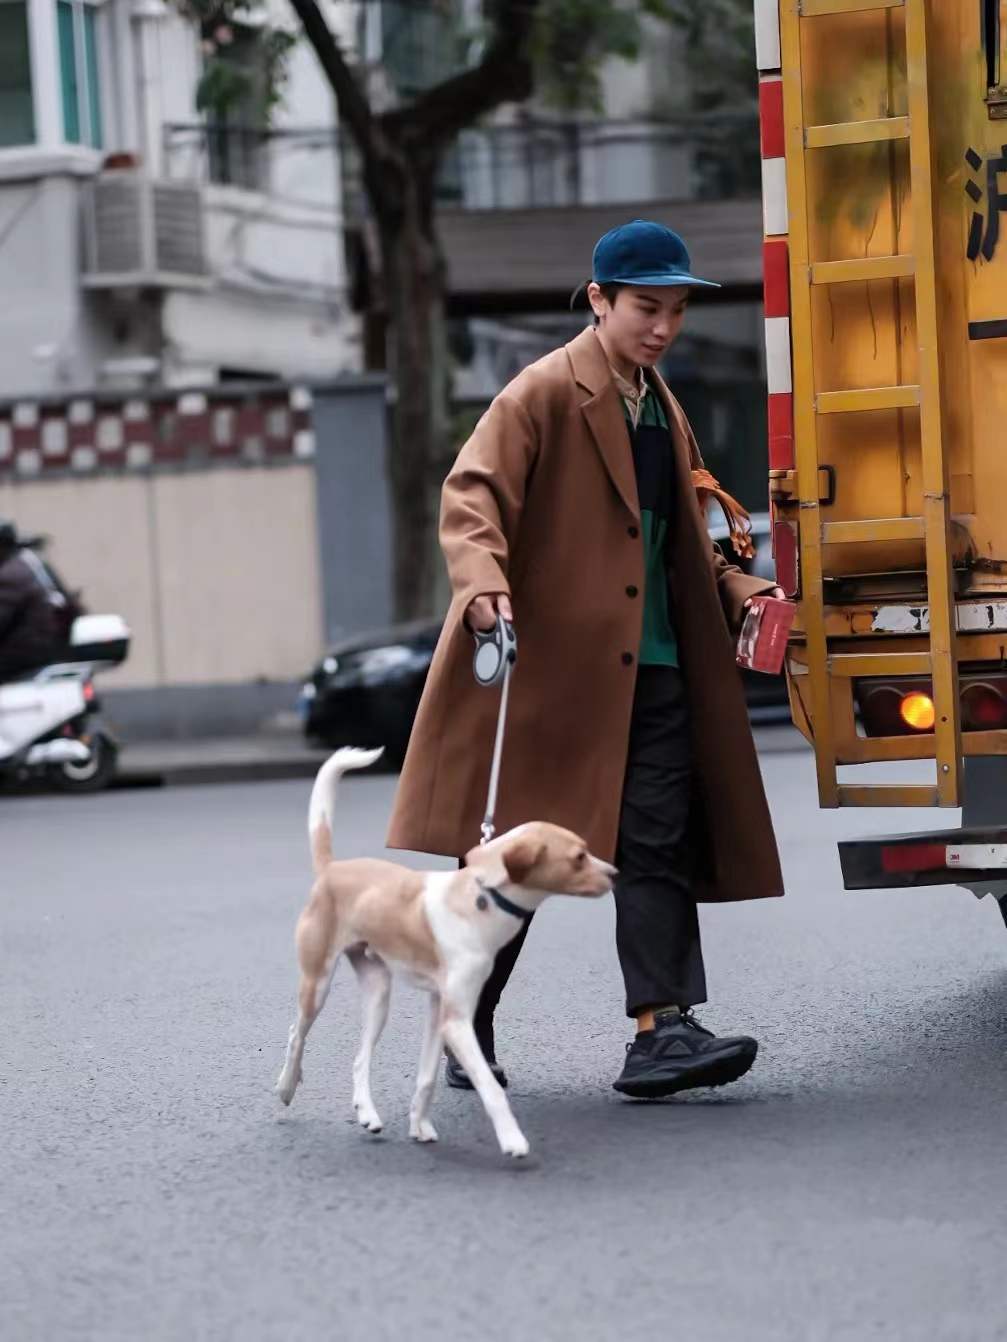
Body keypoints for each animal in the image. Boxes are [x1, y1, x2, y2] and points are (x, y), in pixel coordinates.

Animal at [272, 751, 614, 1159]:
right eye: (579, 857)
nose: (615, 872)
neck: (480, 896)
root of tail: (333, 868)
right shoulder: (455, 1019)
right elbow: (490, 1087)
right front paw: (512, 1139)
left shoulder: (439, 1009)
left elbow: (427, 1078)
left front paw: (419, 1125)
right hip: (318, 981)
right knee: (296, 1033)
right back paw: (286, 1086)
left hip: (378, 993)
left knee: (359, 1058)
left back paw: (367, 1113)